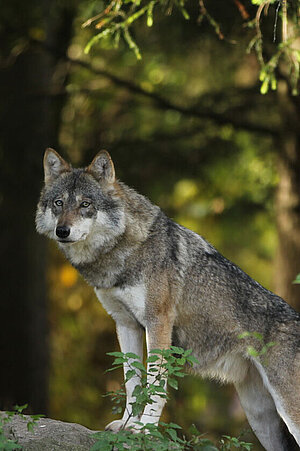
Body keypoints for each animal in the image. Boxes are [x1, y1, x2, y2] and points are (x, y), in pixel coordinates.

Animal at [35, 149, 300, 451]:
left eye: (85, 204)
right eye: (59, 203)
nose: (62, 231)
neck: (124, 251)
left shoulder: (158, 323)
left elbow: (155, 383)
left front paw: (144, 429)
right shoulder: (125, 324)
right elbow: (132, 381)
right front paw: (126, 425)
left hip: (286, 411)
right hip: (260, 417)